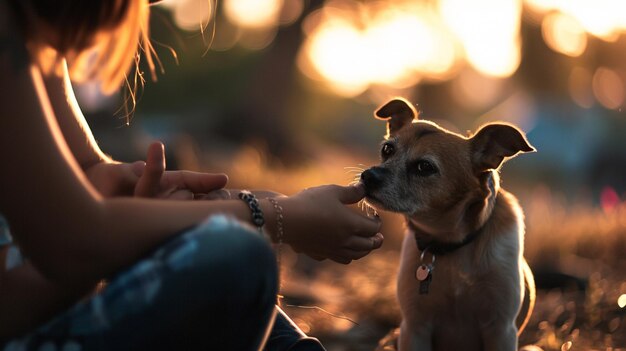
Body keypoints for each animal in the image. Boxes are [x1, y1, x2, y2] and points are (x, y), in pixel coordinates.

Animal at [360, 98, 536, 351]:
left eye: (425, 167)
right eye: (387, 150)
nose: (367, 176)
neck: (448, 243)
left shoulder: (501, 330)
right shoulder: (414, 328)